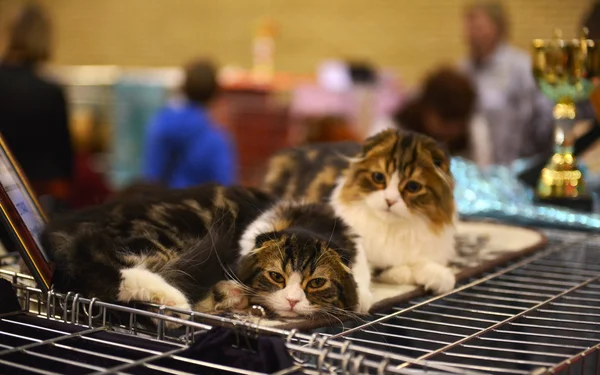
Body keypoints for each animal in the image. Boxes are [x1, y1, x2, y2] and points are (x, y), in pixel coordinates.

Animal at [42, 184, 372, 322]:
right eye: (276, 276)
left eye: (316, 283)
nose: (292, 300)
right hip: (160, 235)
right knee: (103, 265)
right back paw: (172, 303)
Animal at [260, 129, 458, 296]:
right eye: (378, 177)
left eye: (413, 187)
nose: (390, 201)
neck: (388, 227)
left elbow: (423, 262)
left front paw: (440, 277)